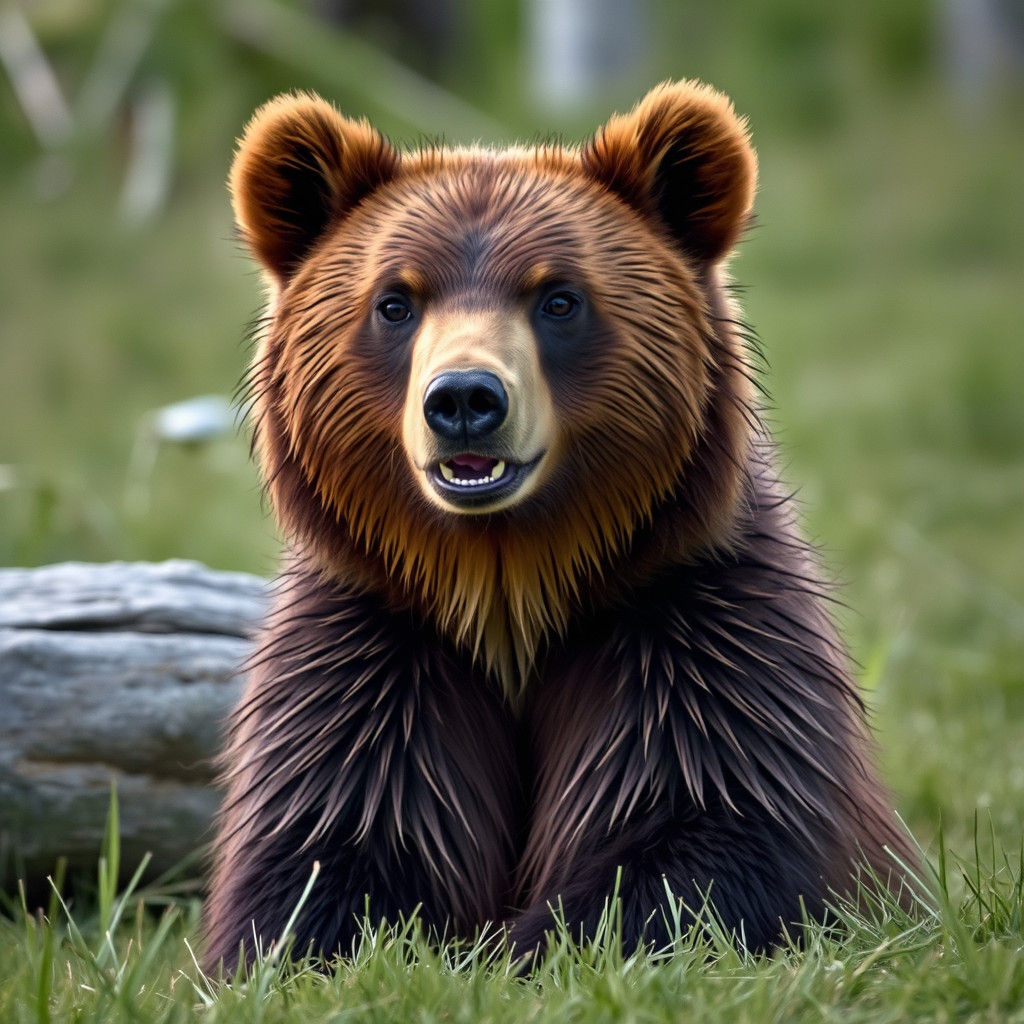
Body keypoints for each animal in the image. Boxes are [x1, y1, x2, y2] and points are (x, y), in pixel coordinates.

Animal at [203, 81, 918, 971]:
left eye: (558, 297)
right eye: (395, 301)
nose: (465, 399)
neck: (510, 587)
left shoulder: (690, 640)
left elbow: (699, 845)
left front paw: (523, 948)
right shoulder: (375, 659)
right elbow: (321, 858)